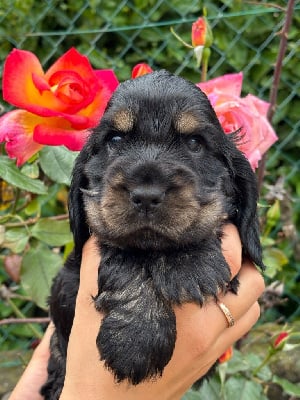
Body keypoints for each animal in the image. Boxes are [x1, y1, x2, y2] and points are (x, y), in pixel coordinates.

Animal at [41, 70, 262, 398]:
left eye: (194, 142)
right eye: (115, 139)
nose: (146, 195)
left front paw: (189, 262)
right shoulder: (70, 280)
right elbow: (124, 254)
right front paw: (135, 340)